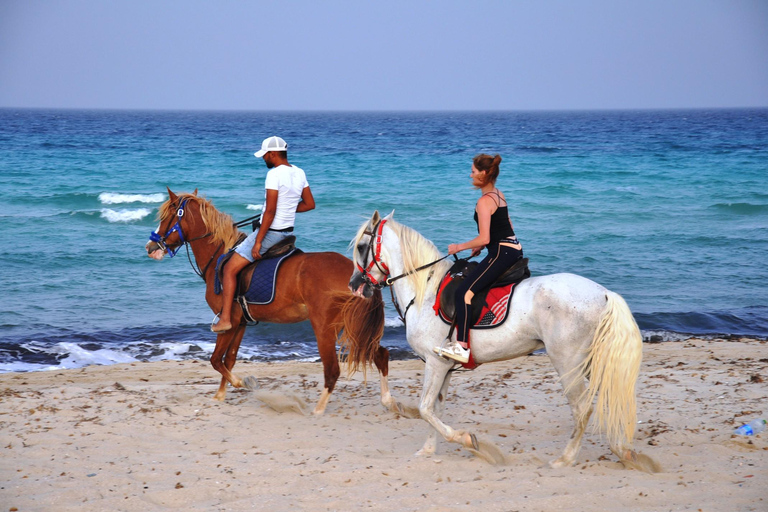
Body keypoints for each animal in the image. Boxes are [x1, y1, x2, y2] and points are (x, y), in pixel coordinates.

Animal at [143, 189, 408, 416]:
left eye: (166, 217)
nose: (150, 246)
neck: (219, 255)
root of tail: (361, 275)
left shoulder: (228, 322)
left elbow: (216, 359)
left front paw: (241, 382)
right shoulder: (241, 323)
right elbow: (228, 359)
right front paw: (221, 394)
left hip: (325, 327)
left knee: (333, 369)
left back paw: (318, 410)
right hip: (352, 325)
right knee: (380, 354)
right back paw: (388, 401)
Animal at [344, 212, 656, 472]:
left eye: (361, 246)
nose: (354, 285)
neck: (425, 292)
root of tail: (604, 293)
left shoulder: (435, 363)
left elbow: (424, 409)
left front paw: (470, 442)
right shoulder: (444, 367)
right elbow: (434, 409)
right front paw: (429, 450)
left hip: (568, 363)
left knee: (582, 408)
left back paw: (565, 459)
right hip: (588, 361)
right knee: (607, 398)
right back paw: (624, 452)